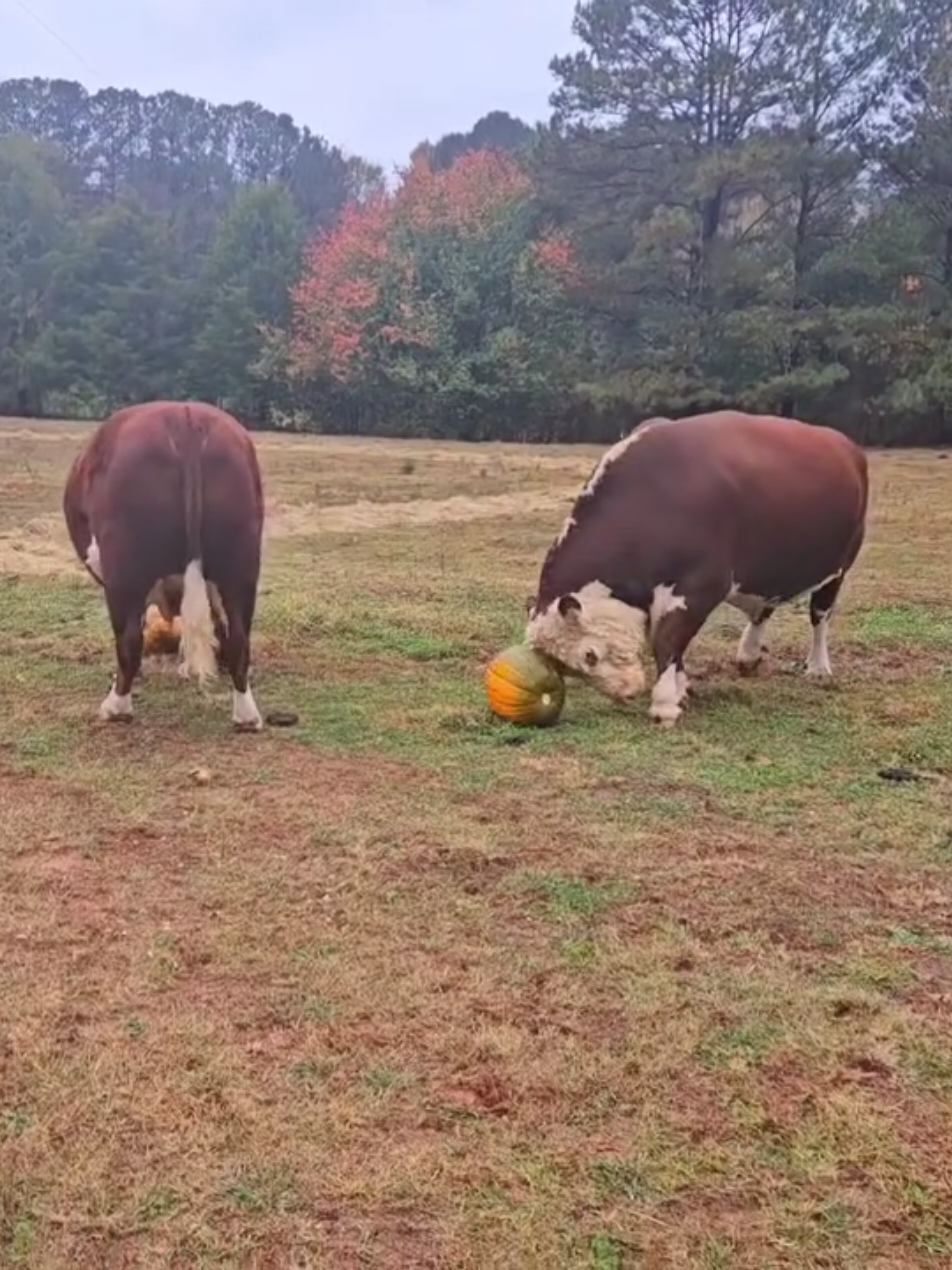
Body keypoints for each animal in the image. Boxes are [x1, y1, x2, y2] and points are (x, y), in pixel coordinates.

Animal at [62, 400, 266, 730]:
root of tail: (185, 416)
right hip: (240, 566)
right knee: (238, 638)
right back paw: (246, 715)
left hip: (125, 570)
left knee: (129, 640)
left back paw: (116, 707)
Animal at [524, 410, 870, 728]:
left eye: (590, 655)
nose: (626, 694)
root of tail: (845, 444)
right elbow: (673, 648)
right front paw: (680, 690)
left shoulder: (700, 587)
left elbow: (667, 641)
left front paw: (665, 703)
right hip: (768, 568)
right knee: (763, 609)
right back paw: (749, 654)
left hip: (838, 568)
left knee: (820, 616)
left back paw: (818, 666)